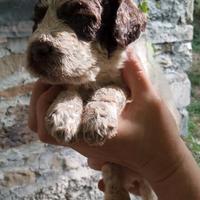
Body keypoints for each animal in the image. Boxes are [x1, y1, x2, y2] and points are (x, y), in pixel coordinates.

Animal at [26, 0, 178, 200]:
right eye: (37, 19)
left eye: (80, 17)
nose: (37, 49)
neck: (97, 72)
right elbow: (68, 89)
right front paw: (64, 114)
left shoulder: (129, 84)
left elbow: (111, 90)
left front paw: (97, 118)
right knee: (113, 179)